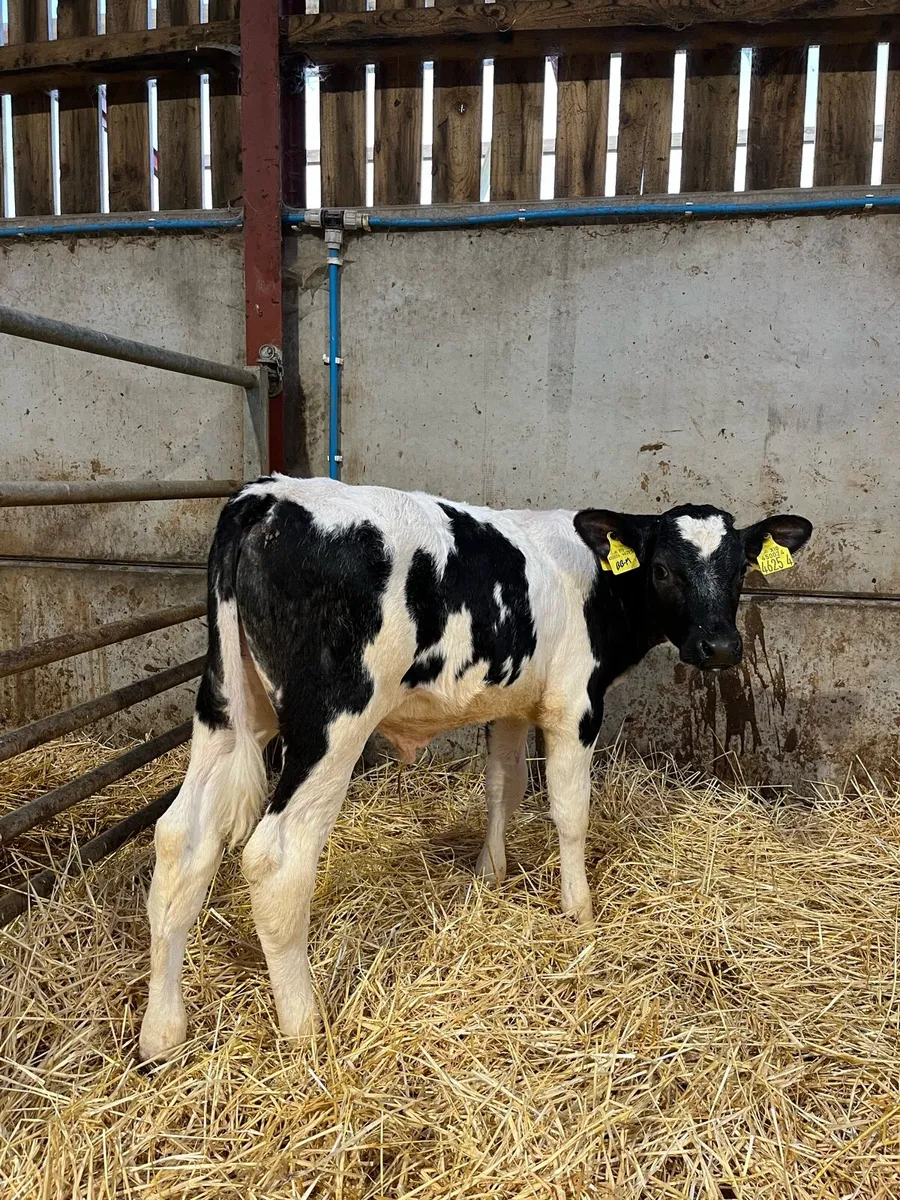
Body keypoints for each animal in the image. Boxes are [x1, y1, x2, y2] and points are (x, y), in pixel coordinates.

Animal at [139, 474, 812, 1059]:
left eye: (739, 569)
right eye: (665, 569)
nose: (719, 647)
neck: (594, 581)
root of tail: (267, 496)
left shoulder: (511, 701)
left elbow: (503, 787)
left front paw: (489, 874)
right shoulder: (574, 703)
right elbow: (569, 809)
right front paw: (579, 909)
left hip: (226, 706)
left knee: (181, 841)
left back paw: (162, 1034)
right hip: (332, 721)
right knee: (276, 856)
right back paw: (305, 1026)